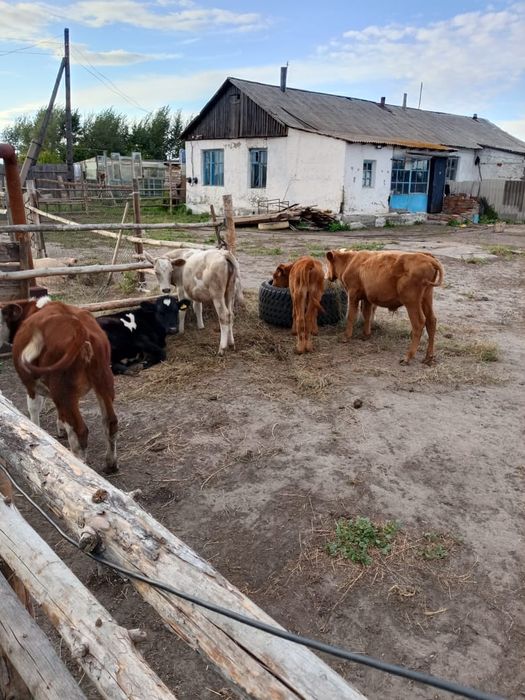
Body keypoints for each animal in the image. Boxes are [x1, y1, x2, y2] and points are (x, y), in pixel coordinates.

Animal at [0, 296, 118, 473]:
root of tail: (79, 327)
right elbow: (60, 414)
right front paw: (61, 427)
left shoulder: (31, 384)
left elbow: (34, 410)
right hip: (103, 381)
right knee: (110, 422)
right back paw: (110, 463)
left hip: (62, 389)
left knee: (80, 430)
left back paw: (78, 463)